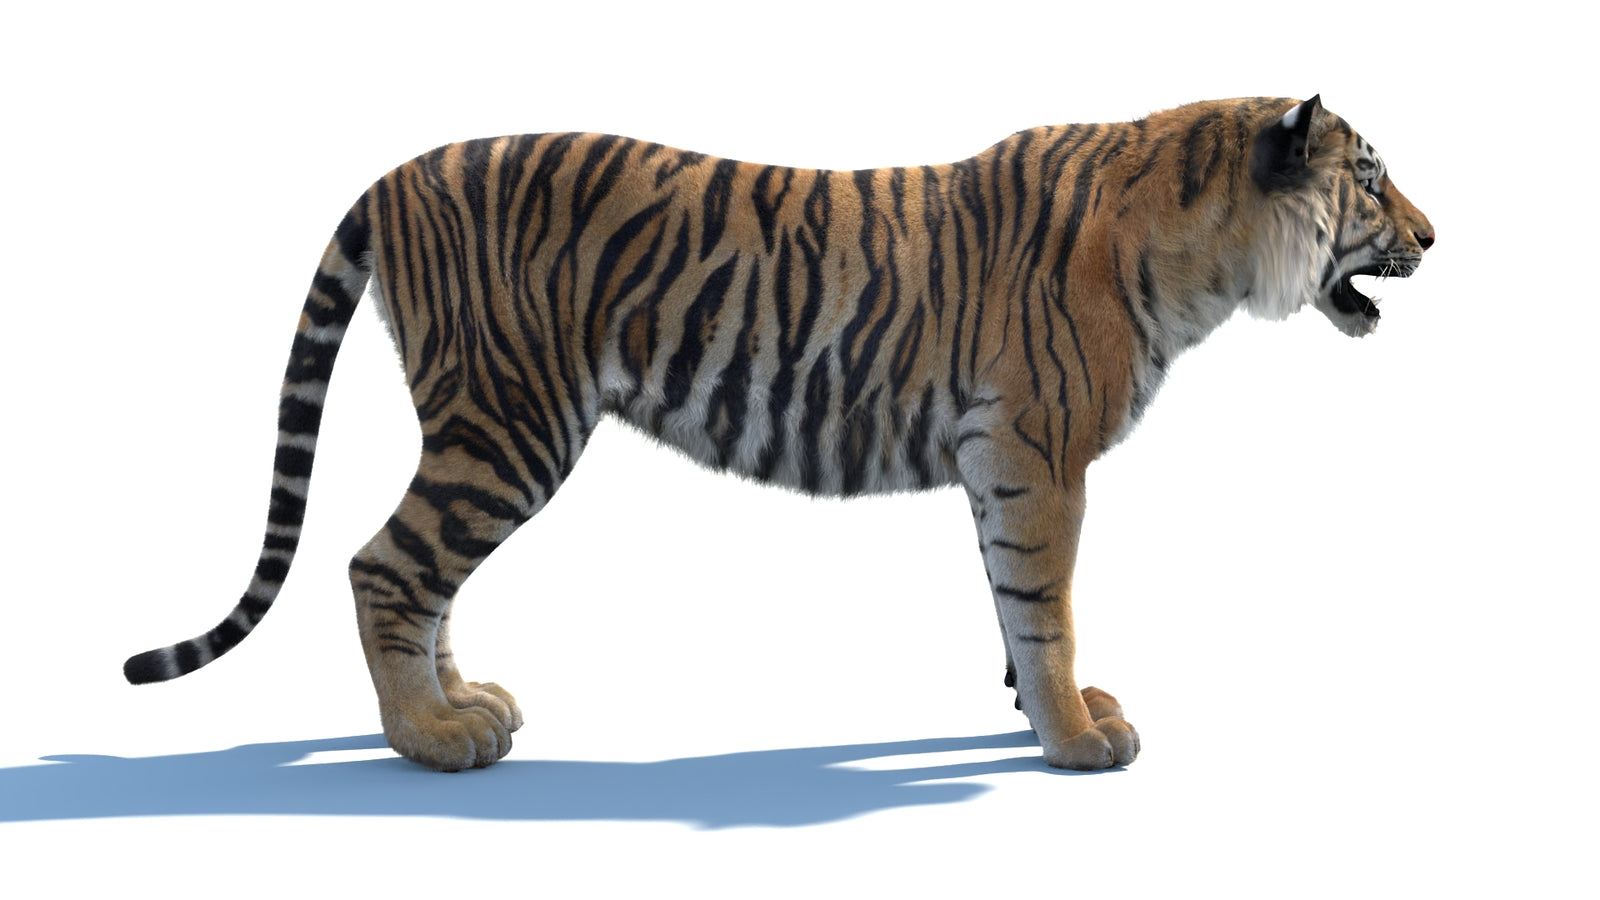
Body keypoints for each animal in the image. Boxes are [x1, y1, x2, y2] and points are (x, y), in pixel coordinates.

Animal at [125, 95, 1433, 771]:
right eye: (1370, 180)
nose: (1436, 234)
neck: (1205, 254)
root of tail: (394, 173)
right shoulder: (1035, 453)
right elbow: (1046, 602)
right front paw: (1073, 737)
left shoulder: (995, 462)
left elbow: (1011, 602)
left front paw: (1037, 709)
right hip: (509, 421)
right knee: (384, 566)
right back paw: (432, 740)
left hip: (481, 427)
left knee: (423, 573)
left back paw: (468, 703)